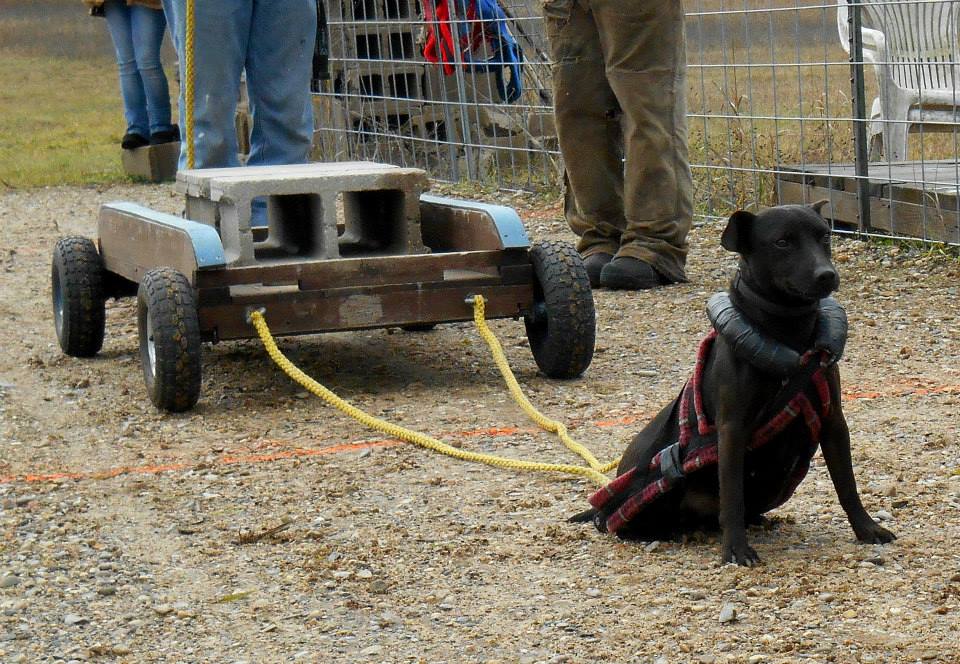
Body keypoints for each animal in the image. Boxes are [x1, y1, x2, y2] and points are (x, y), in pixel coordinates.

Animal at [568, 202, 892, 564]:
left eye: (824, 236)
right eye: (782, 242)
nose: (826, 275)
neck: (789, 334)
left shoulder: (833, 421)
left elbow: (847, 483)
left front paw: (867, 529)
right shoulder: (732, 429)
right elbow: (733, 496)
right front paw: (736, 549)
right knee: (626, 521)